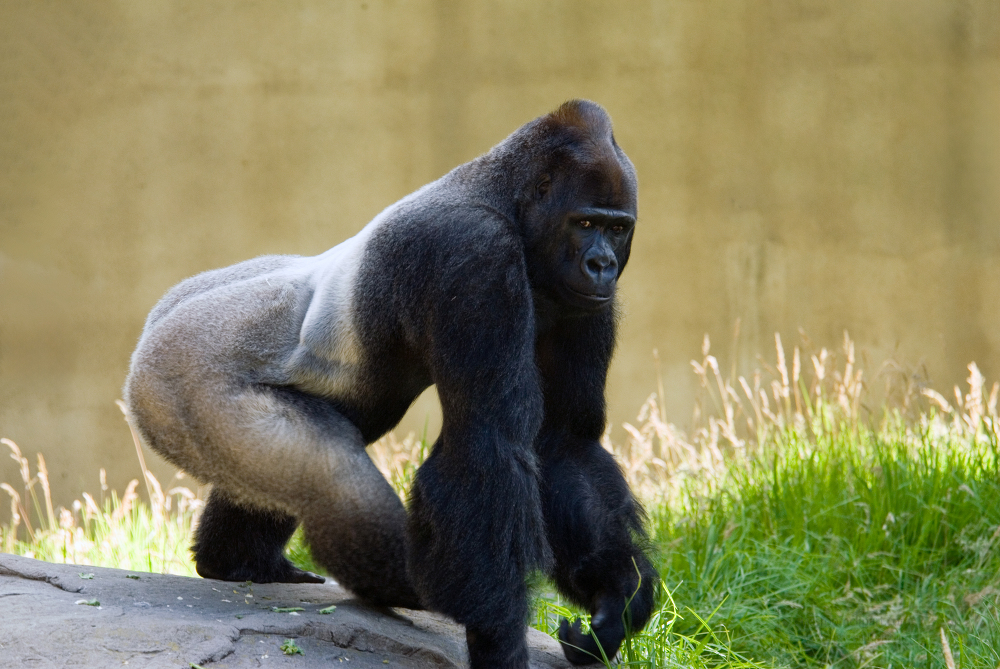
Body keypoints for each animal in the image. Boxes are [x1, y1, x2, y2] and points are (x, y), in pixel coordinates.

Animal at [125, 100, 656, 668]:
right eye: (585, 223)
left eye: (617, 229)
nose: (600, 265)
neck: (509, 203)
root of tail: (156, 322)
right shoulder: (473, 252)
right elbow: (486, 446)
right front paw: (500, 639)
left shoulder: (582, 302)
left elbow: (563, 443)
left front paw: (615, 599)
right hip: (176, 379)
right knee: (332, 479)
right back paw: (413, 587)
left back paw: (238, 562)